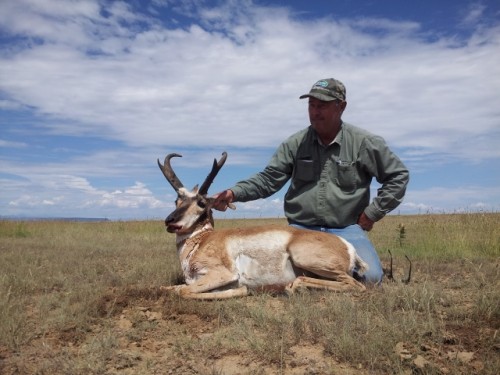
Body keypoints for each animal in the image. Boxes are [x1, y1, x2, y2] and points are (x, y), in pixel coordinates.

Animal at [158, 151, 370, 302]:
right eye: (177, 200)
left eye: (202, 203)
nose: (170, 221)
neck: (201, 241)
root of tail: (347, 246)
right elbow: (168, 289)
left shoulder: (222, 274)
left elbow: (184, 291)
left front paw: (242, 290)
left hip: (304, 258)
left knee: (355, 285)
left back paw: (293, 287)